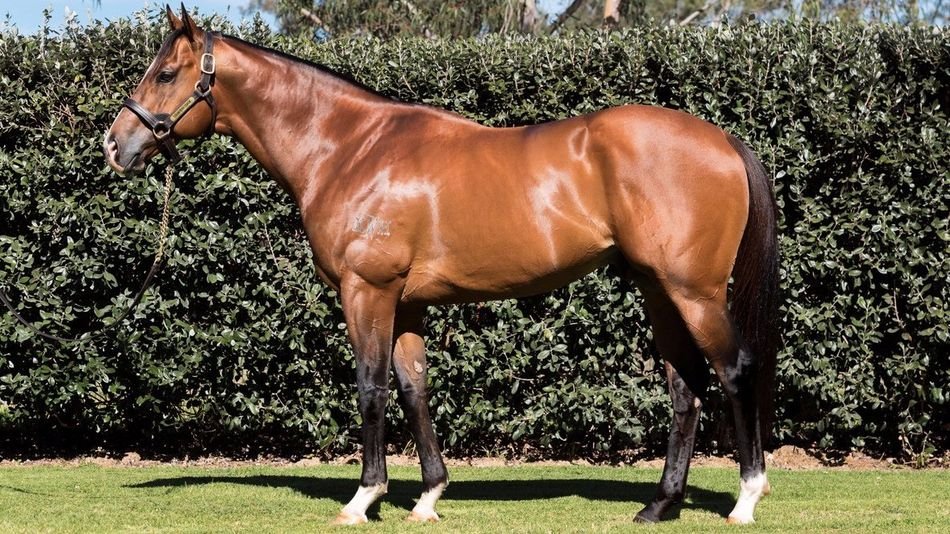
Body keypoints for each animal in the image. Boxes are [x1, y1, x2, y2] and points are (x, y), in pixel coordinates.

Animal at [105, 6, 779, 526]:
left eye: (166, 73)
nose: (115, 146)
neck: (351, 149)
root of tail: (721, 140)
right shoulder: (406, 303)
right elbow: (413, 388)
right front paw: (428, 496)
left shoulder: (367, 291)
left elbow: (371, 386)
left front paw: (363, 498)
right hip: (659, 291)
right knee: (685, 387)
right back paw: (659, 506)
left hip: (694, 292)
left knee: (734, 371)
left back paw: (747, 499)